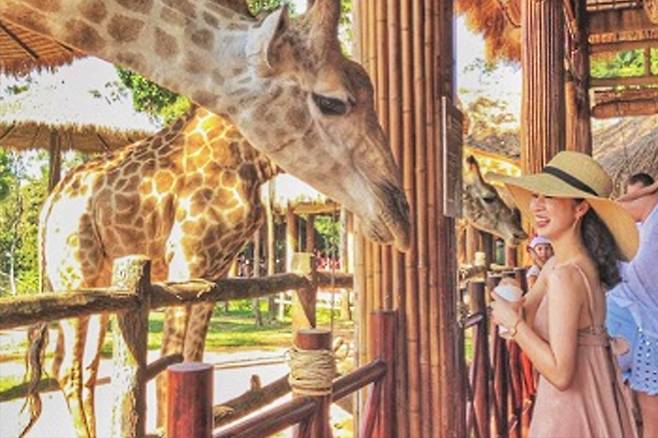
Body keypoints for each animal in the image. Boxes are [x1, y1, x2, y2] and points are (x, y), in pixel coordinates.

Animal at [23, 106, 279, 437]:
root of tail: (50, 204)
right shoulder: (186, 260)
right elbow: (169, 360)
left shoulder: (213, 274)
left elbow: (193, 356)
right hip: (75, 272)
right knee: (68, 368)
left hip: (101, 284)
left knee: (86, 366)